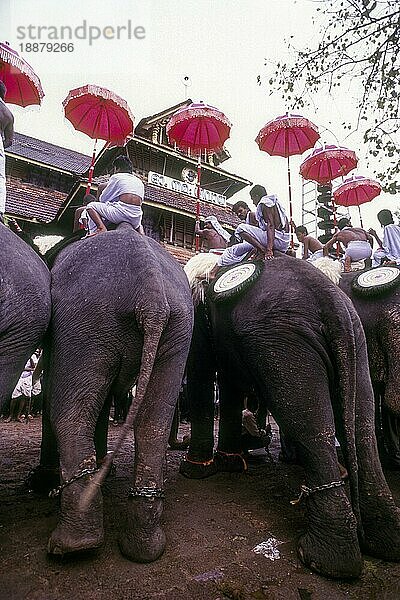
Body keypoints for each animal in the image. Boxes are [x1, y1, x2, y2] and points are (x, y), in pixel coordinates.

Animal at [39, 227, 194, 564]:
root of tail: (152, 293)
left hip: (86, 322)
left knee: (70, 413)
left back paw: (72, 546)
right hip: (176, 329)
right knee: (153, 423)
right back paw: (143, 549)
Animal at [180, 254, 400, 580]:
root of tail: (331, 301)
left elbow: (202, 375)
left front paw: (195, 472)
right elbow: (230, 383)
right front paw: (231, 464)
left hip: (283, 343)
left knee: (309, 423)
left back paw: (324, 562)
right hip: (350, 338)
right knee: (360, 422)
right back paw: (386, 542)